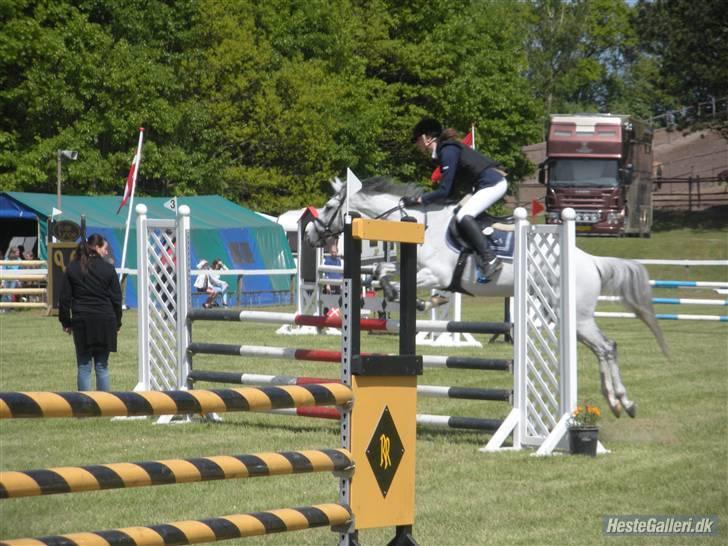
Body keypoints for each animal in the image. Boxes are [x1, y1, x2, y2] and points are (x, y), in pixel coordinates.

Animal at [304, 176, 668, 414]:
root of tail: (591, 261)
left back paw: (623, 401)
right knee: (604, 349)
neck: (423, 225)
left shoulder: (436, 273)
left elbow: (401, 279)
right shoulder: (415, 267)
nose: (308, 234)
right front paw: (410, 296)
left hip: (576, 316)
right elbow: (382, 271)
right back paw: (616, 402)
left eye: (328, 205)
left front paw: (421, 299)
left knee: (607, 347)